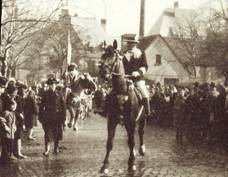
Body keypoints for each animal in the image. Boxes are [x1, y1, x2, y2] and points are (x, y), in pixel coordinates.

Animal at [99, 42, 147, 173]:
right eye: (103, 56)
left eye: (113, 57)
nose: (103, 73)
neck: (122, 91)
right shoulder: (112, 121)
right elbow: (109, 143)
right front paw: (105, 165)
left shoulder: (131, 122)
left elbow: (132, 142)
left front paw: (132, 163)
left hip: (142, 119)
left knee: (140, 133)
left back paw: (141, 149)